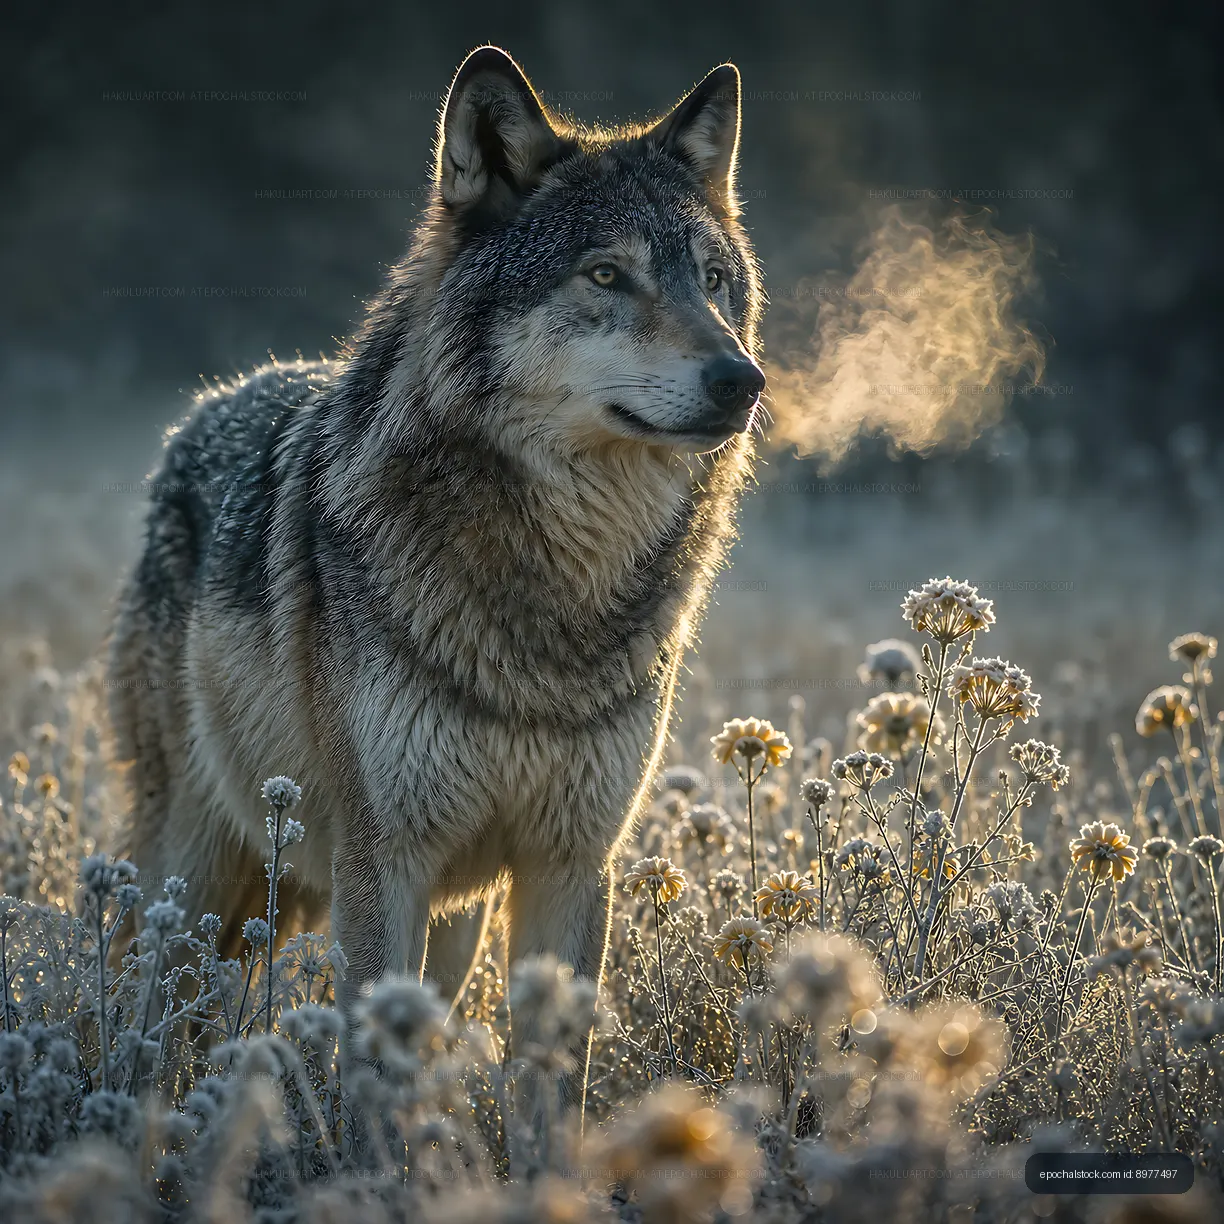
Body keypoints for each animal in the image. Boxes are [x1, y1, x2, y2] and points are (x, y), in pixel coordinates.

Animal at [108, 46, 765, 1101]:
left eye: (711, 281)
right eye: (607, 274)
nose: (742, 381)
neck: (555, 592)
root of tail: (209, 405)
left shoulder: (570, 865)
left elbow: (550, 1091)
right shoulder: (386, 865)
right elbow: (372, 1087)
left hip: (450, 917)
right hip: (198, 872)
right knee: (150, 1012)